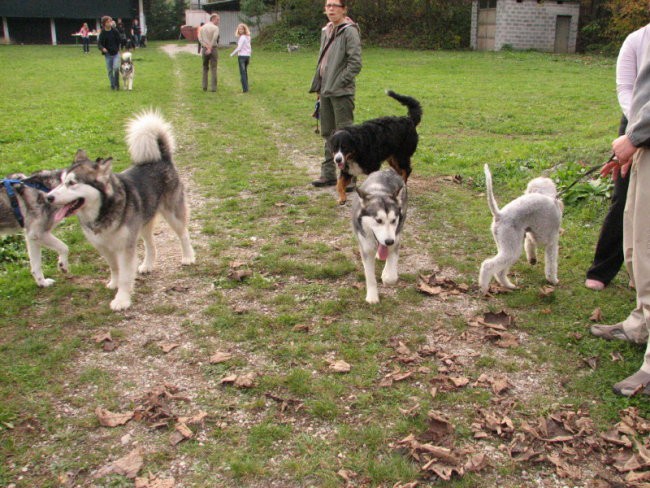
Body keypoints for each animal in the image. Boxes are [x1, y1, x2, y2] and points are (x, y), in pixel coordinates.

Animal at [46, 109, 195, 310]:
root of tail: (161, 159)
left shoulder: (125, 247)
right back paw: (148, 265)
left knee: (183, 234)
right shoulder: (103, 246)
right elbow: (114, 268)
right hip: (143, 223)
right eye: (61, 181)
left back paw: (188, 257)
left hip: (173, 214)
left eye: (72, 183)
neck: (103, 212)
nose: (48, 197)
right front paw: (114, 284)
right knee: (150, 244)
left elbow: (125, 275)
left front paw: (122, 299)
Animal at [352, 170, 408, 304]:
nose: (389, 241)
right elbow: (370, 276)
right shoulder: (365, 249)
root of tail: (388, 170)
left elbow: (391, 274)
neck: (379, 192)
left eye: (393, 220)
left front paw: (387, 276)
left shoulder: (396, 239)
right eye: (378, 220)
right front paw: (372, 297)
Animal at [476, 164, 560, 296]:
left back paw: (508, 285)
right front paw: (553, 279)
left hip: (506, 245)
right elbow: (551, 262)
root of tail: (499, 215)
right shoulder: (551, 240)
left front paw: (532, 259)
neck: (546, 195)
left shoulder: (530, 231)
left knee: (499, 271)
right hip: (511, 247)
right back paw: (484, 288)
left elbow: (530, 242)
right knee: (488, 266)